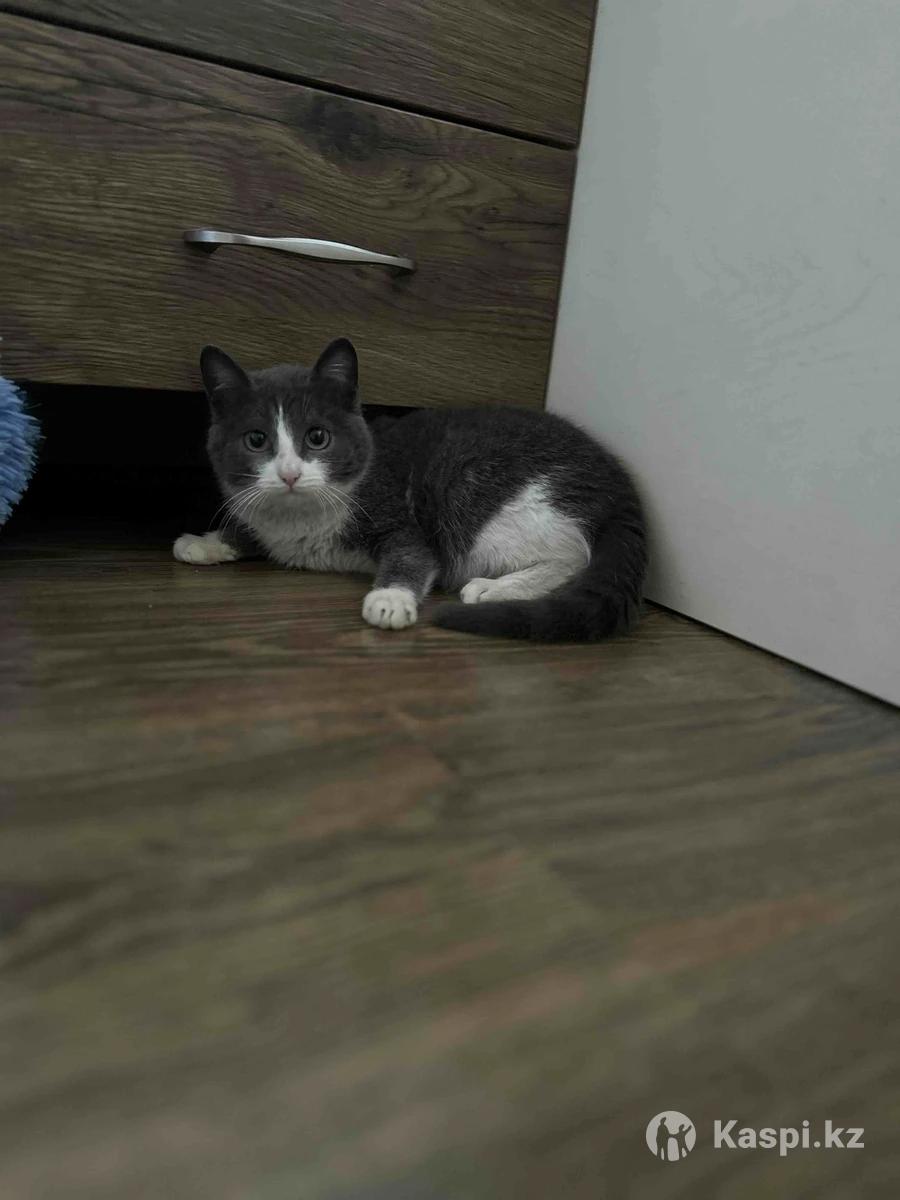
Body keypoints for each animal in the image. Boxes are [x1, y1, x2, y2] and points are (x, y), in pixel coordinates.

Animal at [173, 337, 647, 640]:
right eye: (256, 440)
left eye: (318, 437)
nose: (289, 473)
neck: (300, 519)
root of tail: (620, 484)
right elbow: (253, 530)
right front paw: (204, 541)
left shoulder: (395, 515)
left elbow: (413, 555)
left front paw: (389, 598)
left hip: (486, 495)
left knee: (573, 554)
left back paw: (492, 589)